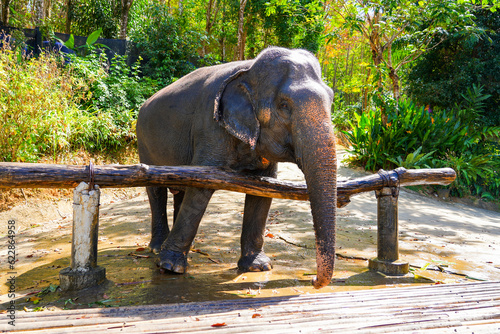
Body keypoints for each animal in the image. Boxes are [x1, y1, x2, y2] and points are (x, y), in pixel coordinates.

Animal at [137, 45, 338, 288]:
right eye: (284, 105)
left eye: (331, 100)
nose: (313, 280)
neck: (248, 68)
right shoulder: (210, 127)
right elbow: (200, 188)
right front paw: (170, 268)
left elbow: (264, 190)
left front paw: (258, 267)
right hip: (144, 142)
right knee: (156, 190)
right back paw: (157, 248)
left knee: (181, 189)